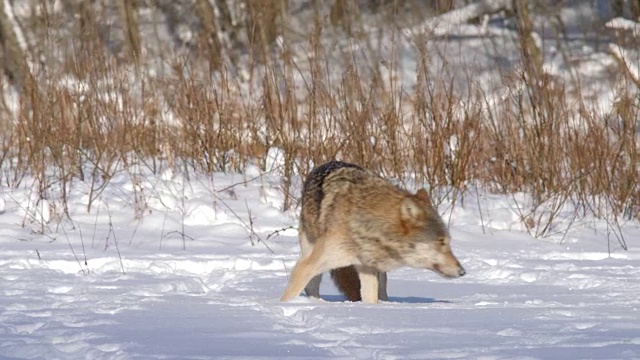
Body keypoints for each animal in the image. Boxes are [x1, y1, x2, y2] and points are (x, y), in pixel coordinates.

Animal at [282, 160, 464, 304]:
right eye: (441, 242)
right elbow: (287, 296)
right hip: (310, 258)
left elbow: (371, 300)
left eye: (447, 241)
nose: (462, 271)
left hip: (380, 276)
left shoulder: (368, 269)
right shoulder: (308, 266)